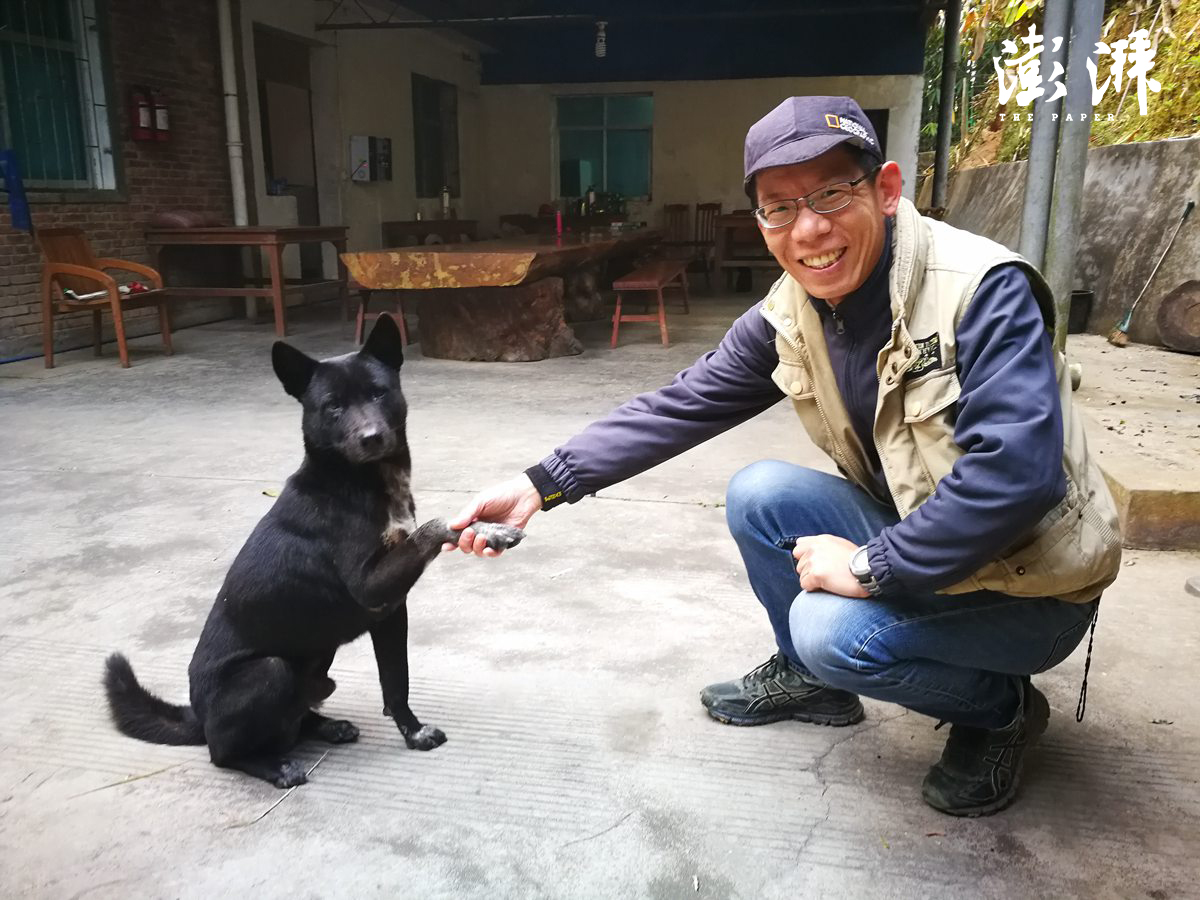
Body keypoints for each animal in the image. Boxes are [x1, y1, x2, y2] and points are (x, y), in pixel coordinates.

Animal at [103, 314, 523, 787]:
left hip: (319, 659)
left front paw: (413, 732)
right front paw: (489, 530)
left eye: (378, 392)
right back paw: (275, 767)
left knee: (296, 717)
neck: (355, 481)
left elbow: (396, 683)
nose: (372, 438)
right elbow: (434, 526)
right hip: (268, 672)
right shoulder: (371, 587)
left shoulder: (390, 613)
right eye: (332, 406)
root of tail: (198, 717)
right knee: (223, 753)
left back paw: (326, 727)